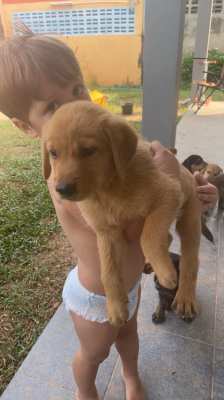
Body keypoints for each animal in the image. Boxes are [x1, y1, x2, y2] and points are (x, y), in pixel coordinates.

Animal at [42, 101, 201, 326]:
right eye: (53, 153)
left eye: (88, 151)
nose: (62, 189)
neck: (109, 189)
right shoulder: (107, 232)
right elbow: (108, 271)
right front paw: (115, 306)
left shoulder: (168, 195)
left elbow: (148, 237)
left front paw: (165, 272)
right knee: (169, 237)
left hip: (189, 219)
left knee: (190, 260)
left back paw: (185, 296)